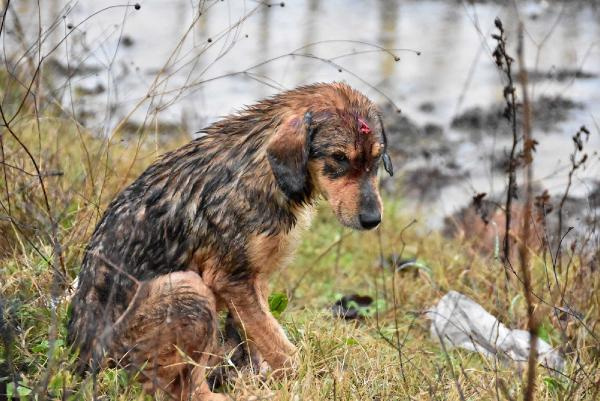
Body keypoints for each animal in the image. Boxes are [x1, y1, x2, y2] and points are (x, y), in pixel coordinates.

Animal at [68, 82, 394, 400]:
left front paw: (258, 377)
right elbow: (284, 351)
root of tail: (83, 363)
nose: (373, 220)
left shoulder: (256, 281)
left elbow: (259, 339)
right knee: (182, 389)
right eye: (338, 158)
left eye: (377, 158)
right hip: (189, 289)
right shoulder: (232, 280)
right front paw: (299, 380)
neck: (264, 169)